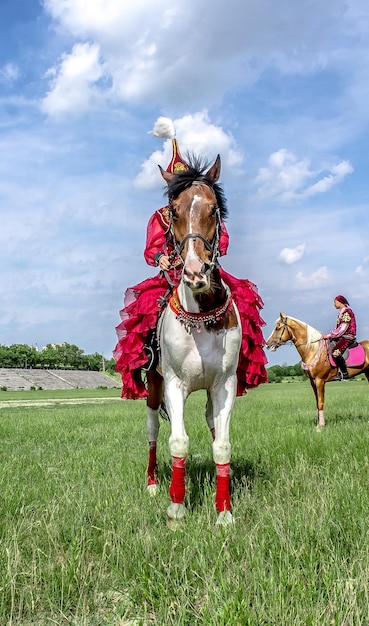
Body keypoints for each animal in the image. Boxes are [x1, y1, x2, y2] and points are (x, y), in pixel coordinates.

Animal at [144, 154, 242, 524]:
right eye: (173, 211)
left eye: (214, 209)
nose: (195, 272)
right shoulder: (174, 383)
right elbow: (178, 442)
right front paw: (176, 508)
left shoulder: (225, 384)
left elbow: (222, 444)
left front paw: (224, 512)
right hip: (153, 386)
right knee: (153, 433)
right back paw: (152, 483)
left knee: (213, 425)